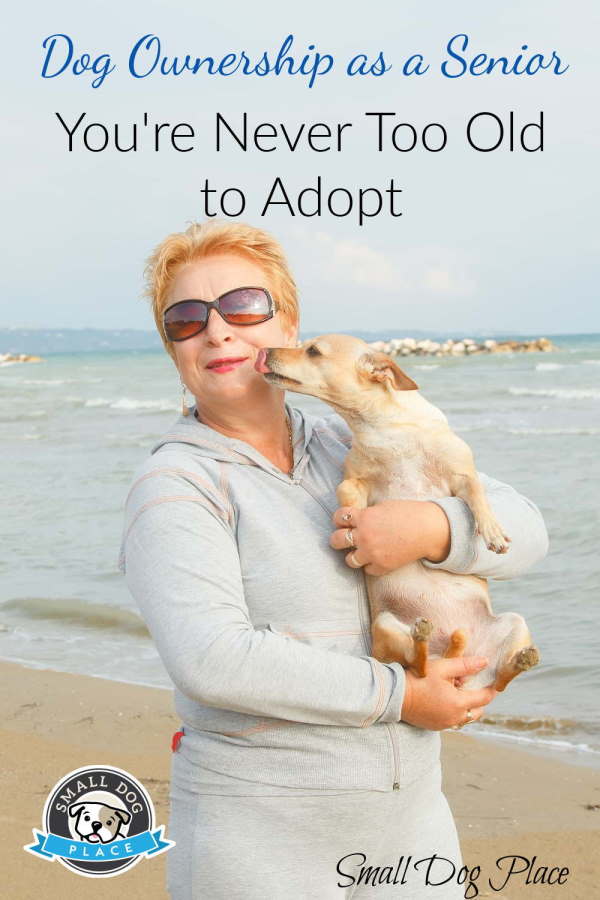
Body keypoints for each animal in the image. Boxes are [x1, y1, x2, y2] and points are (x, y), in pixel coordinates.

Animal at [256, 334, 540, 692]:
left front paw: (491, 530)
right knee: (418, 666)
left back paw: (521, 659)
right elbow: (346, 493)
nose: (265, 351)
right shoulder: (355, 480)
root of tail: (457, 667)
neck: (385, 427)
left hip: (514, 625)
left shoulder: (462, 476)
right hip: (387, 626)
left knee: (500, 679)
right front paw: (352, 526)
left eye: (314, 351)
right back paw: (424, 638)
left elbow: (477, 494)